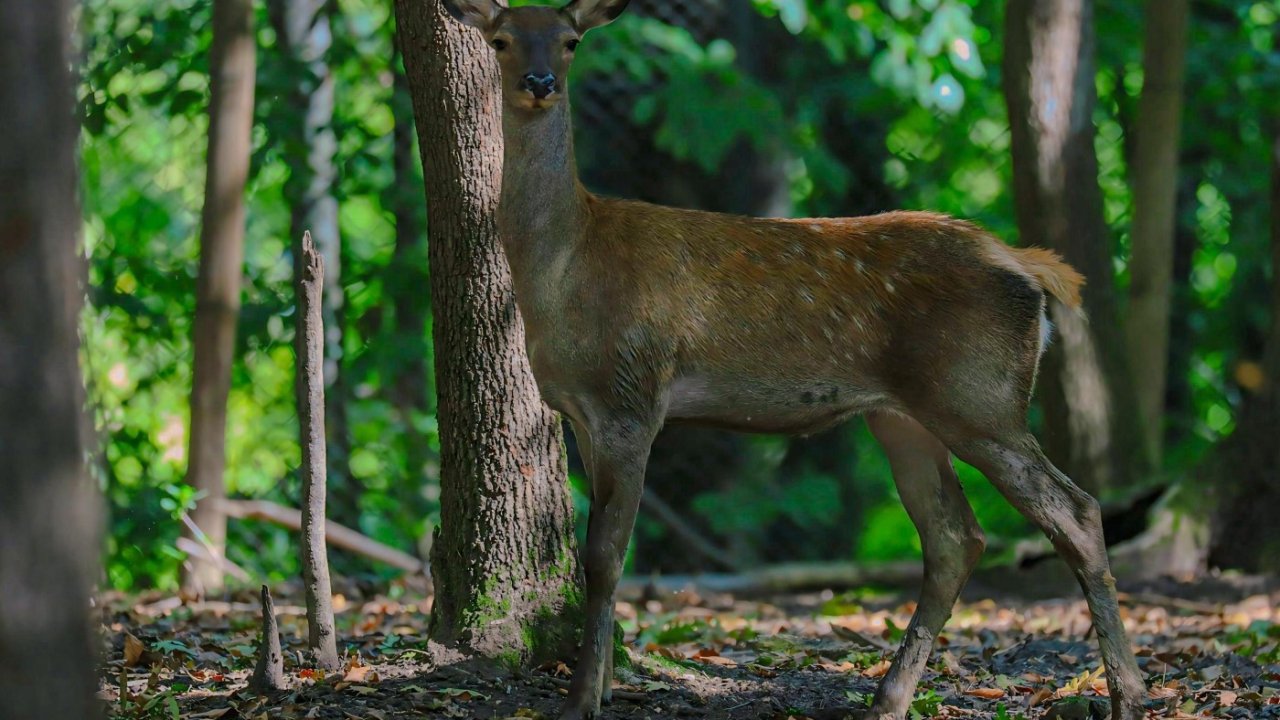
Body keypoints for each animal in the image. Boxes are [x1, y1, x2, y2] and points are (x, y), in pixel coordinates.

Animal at [437, 0, 1152, 712]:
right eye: (502, 39)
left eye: (570, 41)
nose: (538, 83)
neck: (565, 267)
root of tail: (1029, 269)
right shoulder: (582, 413)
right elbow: (602, 553)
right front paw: (606, 682)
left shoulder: (631, 397)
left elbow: (606, 557)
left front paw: (584, 698)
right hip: (903, 416)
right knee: (956, 537)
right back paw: (888, 698)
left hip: (980, 396)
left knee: (1076, 513)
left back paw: (1127, 693)